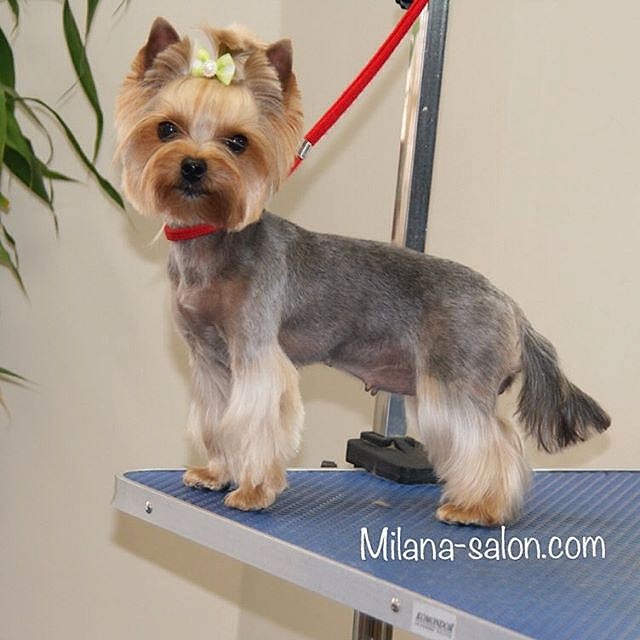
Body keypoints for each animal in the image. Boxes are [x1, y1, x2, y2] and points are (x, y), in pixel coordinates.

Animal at [115, 17, 610, 526]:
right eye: (166, 129)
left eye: (238, 142)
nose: (193, 166)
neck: (212, 240)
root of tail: (511, 307)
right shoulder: (212, 361)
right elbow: (218, 419)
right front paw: (216, 474)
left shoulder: (254, 352)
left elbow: (253, 420)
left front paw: (253, 490)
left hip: (454, 378)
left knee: (494, 442)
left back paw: (478, 507)